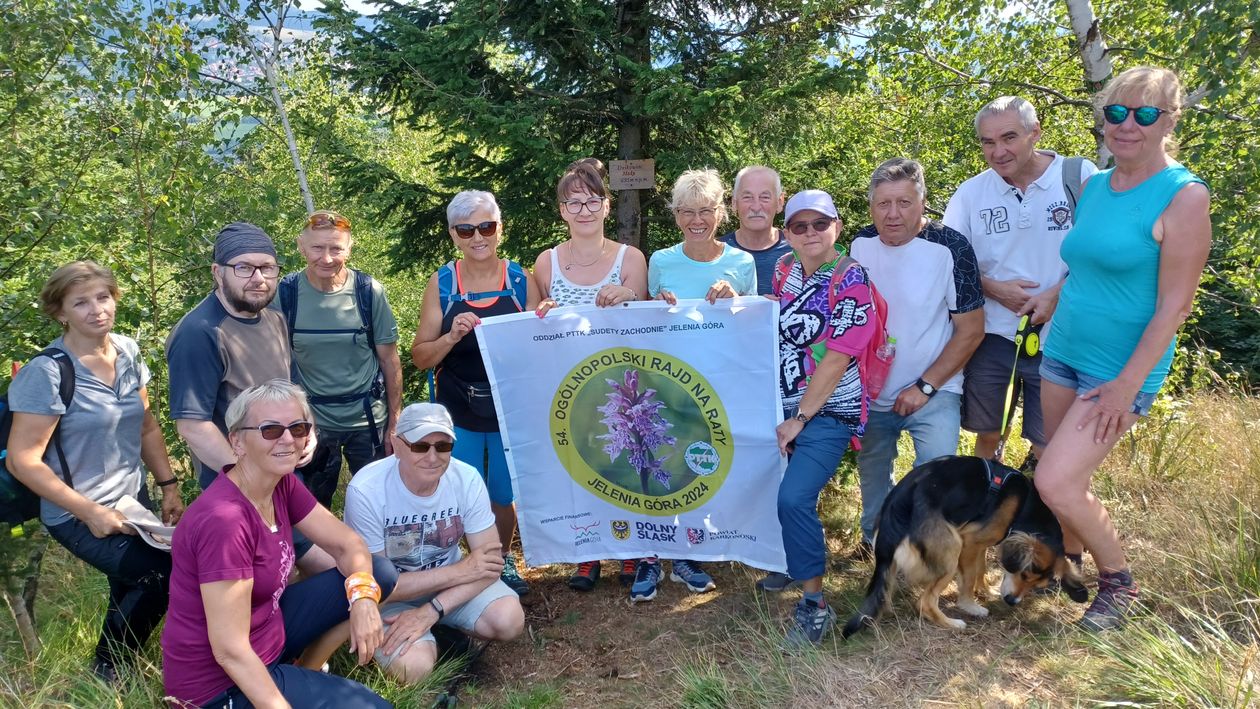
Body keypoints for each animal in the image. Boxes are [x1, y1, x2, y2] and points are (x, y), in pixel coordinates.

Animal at [841, 460, 1088, 637]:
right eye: (1025, 574)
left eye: (1037, 585)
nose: (1012, 602)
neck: (1023, 507)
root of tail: (895, 508)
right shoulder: (969, 542)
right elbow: (969, 578)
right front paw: (971, 605)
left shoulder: (981, 544)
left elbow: (981, 570)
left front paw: (986, 590)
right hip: (952, 550)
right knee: (925, 603)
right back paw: (952, 623)